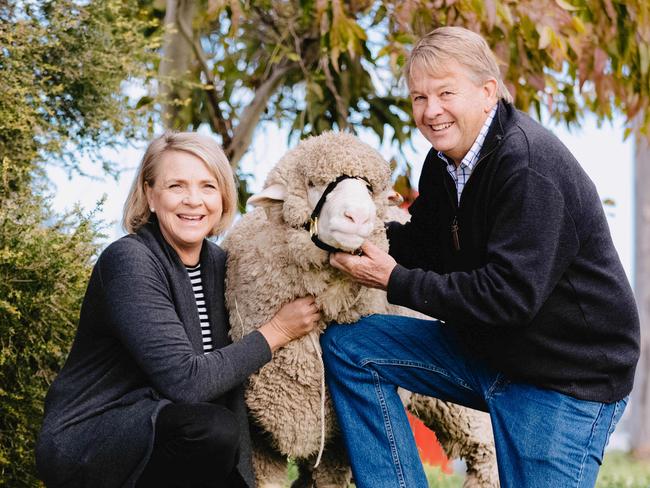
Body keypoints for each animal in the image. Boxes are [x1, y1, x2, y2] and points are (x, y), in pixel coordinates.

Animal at [221, 131, 496, 488]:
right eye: (312, 183)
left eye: (369, 188)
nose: (359, 218)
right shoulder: (259, 439)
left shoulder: (336, 443)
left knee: (484, 444)